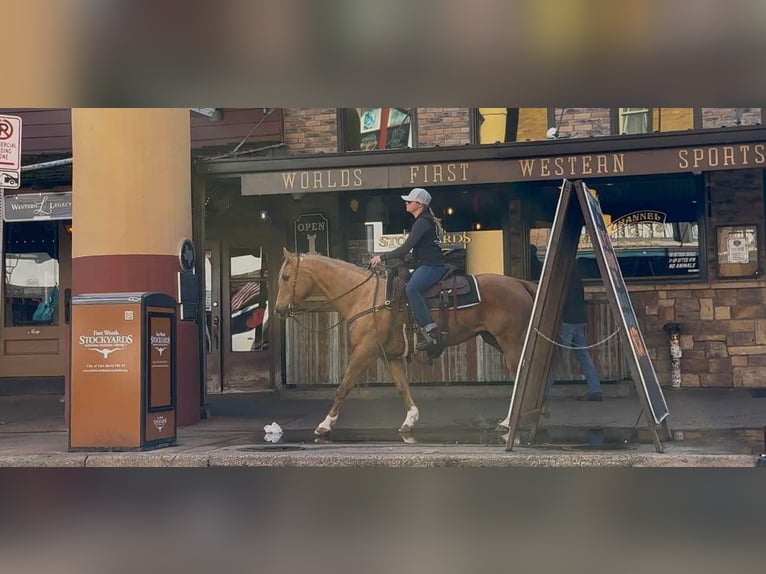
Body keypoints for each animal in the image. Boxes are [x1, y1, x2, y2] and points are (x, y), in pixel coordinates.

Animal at [274, 248, 536, 437]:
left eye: (286, 277)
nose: (277, 310)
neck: (364, 296)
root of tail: (519, 283)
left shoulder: (365, 351)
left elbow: (344, 386)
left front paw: (325, 424)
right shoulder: (389, 355)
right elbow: (401, 386)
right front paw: (410, 420)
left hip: (509, 341)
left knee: (520, 376)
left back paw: (508, 423)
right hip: (495, 339)